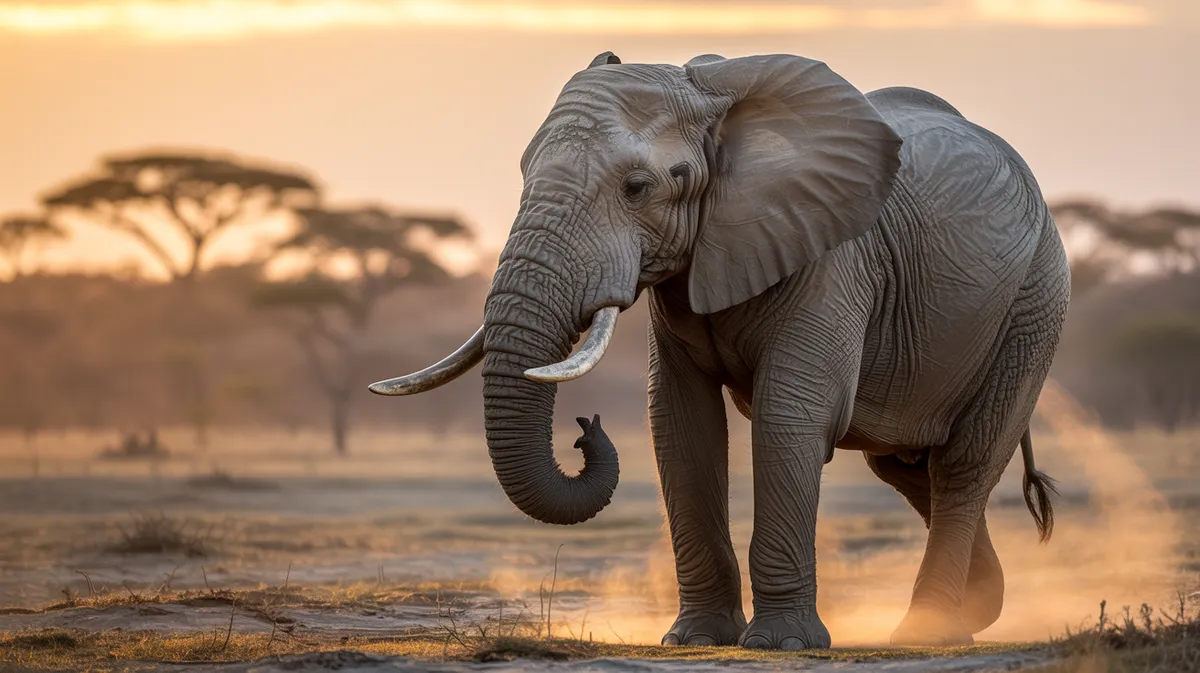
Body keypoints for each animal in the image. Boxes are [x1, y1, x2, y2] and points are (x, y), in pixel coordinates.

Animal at [370, 51, 1069, 649]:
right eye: (522, 174)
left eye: (637, 187)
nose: (585, 428)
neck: (712, 99)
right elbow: (681, 425)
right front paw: (695, 640)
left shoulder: (833, 256)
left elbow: (792, 417)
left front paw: (783, 644)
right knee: (905, 467)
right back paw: (979, 608)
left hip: (1036, 302)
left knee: (963, 464)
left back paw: (930, 631)